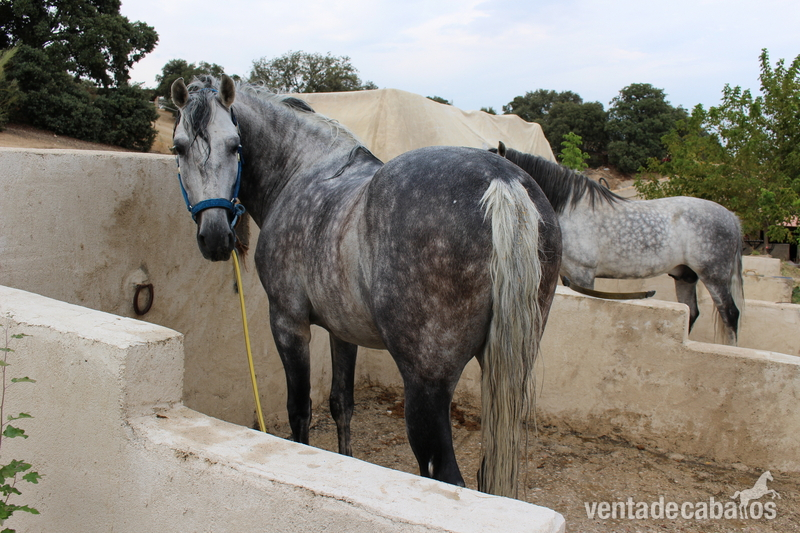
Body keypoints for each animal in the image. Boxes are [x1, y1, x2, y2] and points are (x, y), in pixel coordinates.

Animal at [170, 75, 562, 497]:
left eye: (235, 145)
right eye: (179, 147)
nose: (215, 237)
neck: (301, 171)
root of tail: (503, 182)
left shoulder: (289, 323)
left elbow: (300, 411)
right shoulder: (343, 332)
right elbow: (342, 403)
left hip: (426, 386)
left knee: (445, 474)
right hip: (505, 377)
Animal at [495, 145, 744, 345]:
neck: (570, 210)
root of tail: (732, 218)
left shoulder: (583, 274)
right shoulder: (566, 275)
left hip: (714, 276)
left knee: (730, 313)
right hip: (685, 276)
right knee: (691, 312)